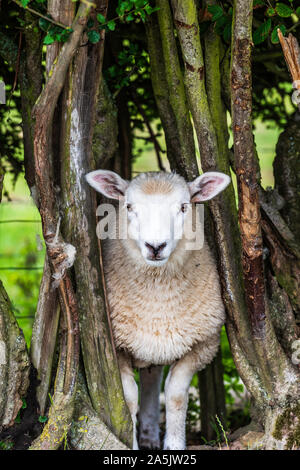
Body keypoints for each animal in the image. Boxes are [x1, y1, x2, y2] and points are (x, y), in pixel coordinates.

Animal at [85, 170, 231, 452]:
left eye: (184, 207)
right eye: (129, 207)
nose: (155, 246)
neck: (158, 299)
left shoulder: (202, 344)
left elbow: (175, 395)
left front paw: (174, 445)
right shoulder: (116, 347)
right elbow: (129, 398)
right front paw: (132, 445)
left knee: (152, 381)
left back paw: (150, 435)